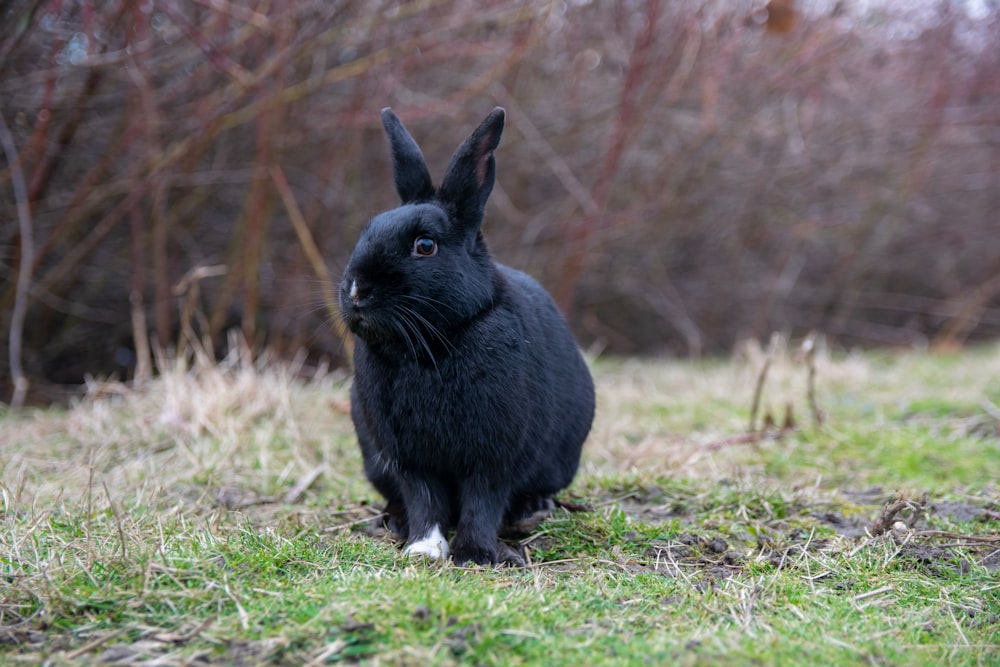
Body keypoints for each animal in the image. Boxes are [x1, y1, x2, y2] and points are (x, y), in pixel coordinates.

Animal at [342, 107, 592, 568]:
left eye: (425, 245)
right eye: (367, 230)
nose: (356, 291)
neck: (432, 344)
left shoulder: (493, 455)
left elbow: (483, 501)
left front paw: (475, 555)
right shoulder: (409, 457)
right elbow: (425, 500)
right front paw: (423, 549)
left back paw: (531, 511)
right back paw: (394, 522)